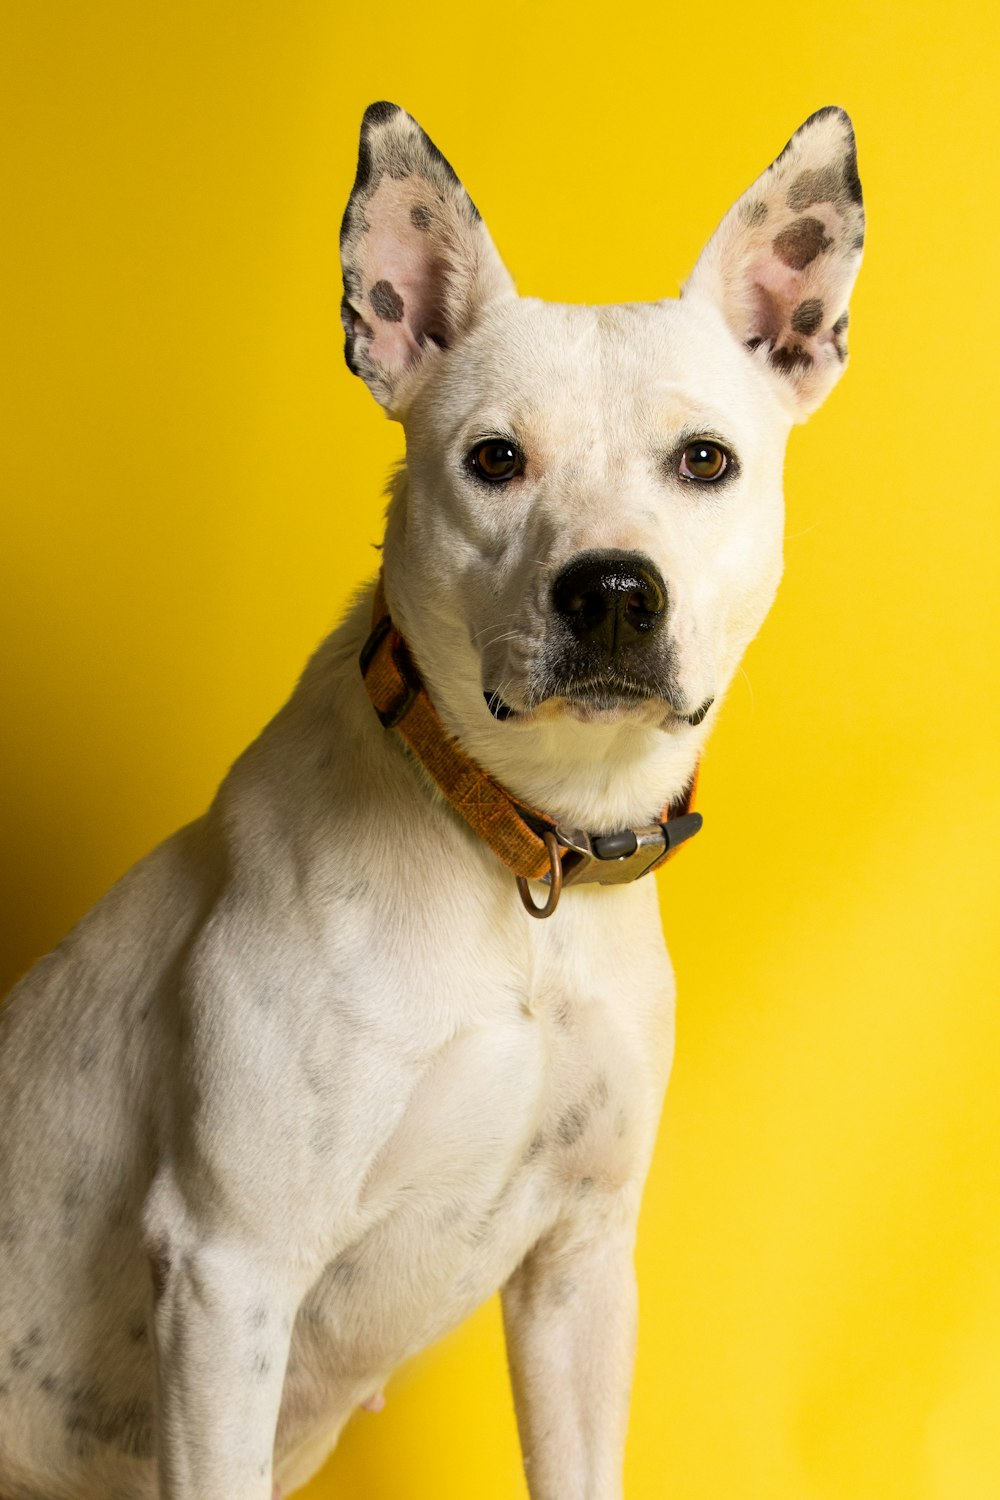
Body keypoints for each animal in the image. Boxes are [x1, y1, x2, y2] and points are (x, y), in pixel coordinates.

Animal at [0, 105, 863, 1500]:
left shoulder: (579, 1270)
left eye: (705, 461)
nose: (610, 590)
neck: (522, 853)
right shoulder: (231, 1272)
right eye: (494, 459)